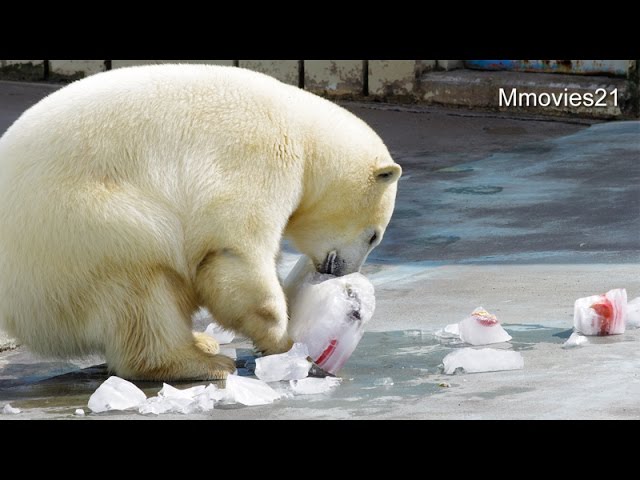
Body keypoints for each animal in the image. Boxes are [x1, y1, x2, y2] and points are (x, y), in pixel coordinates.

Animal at [0, 63, 400, 380]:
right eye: (374, 236)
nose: (342, 271)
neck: (304, 132)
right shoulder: (259, 156)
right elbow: (235, 247)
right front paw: (282, 341)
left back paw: (201, 342)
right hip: (82, 226)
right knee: (141, 283)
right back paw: (201, 363)